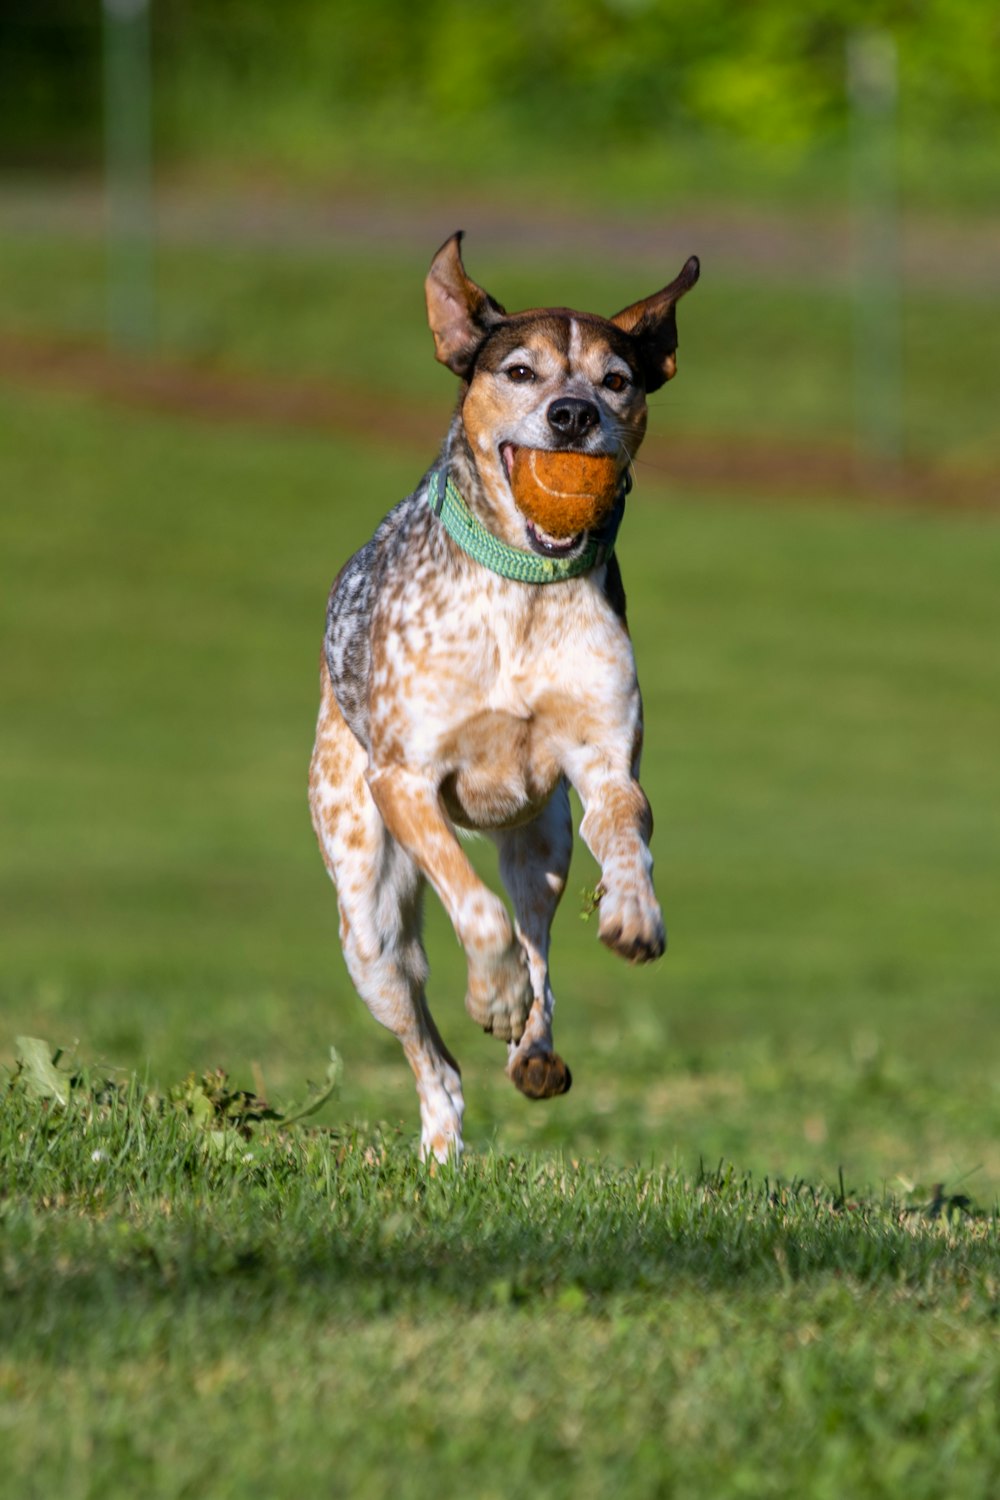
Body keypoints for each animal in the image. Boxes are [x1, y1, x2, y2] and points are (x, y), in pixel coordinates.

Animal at [308, 231, 701, 1158]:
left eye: (617, 378)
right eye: (520, 371)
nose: (572, 415)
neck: (522, 588)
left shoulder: (603, 760)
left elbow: (626, 831)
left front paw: (634, 914)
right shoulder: (405, 778)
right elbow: (475, 911)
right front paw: (492, 995)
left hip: (542, 843)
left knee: (539, 933)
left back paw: (537, 1049)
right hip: (366, 914)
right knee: (432, 1049)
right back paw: (445, 1135)